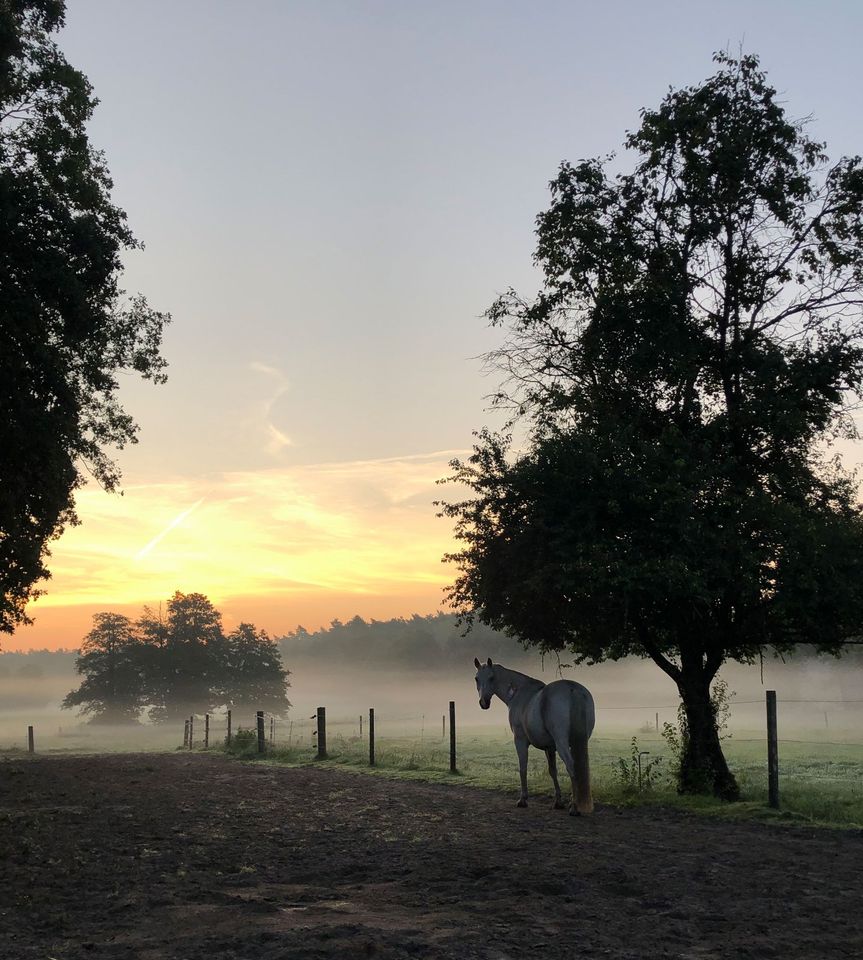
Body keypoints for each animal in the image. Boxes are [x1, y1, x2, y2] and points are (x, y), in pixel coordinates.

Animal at [472, 660, 592, 816]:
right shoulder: (549, 748)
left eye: (491, 678)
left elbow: (523, 767)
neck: (518, 693)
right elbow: (552, 771)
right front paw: (558, 802)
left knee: (571, 767)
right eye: (477, 679)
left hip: (562, 744)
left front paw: (523, 800)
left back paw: (574, 807)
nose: (483, 703)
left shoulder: (520, 741)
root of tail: (573, 689)